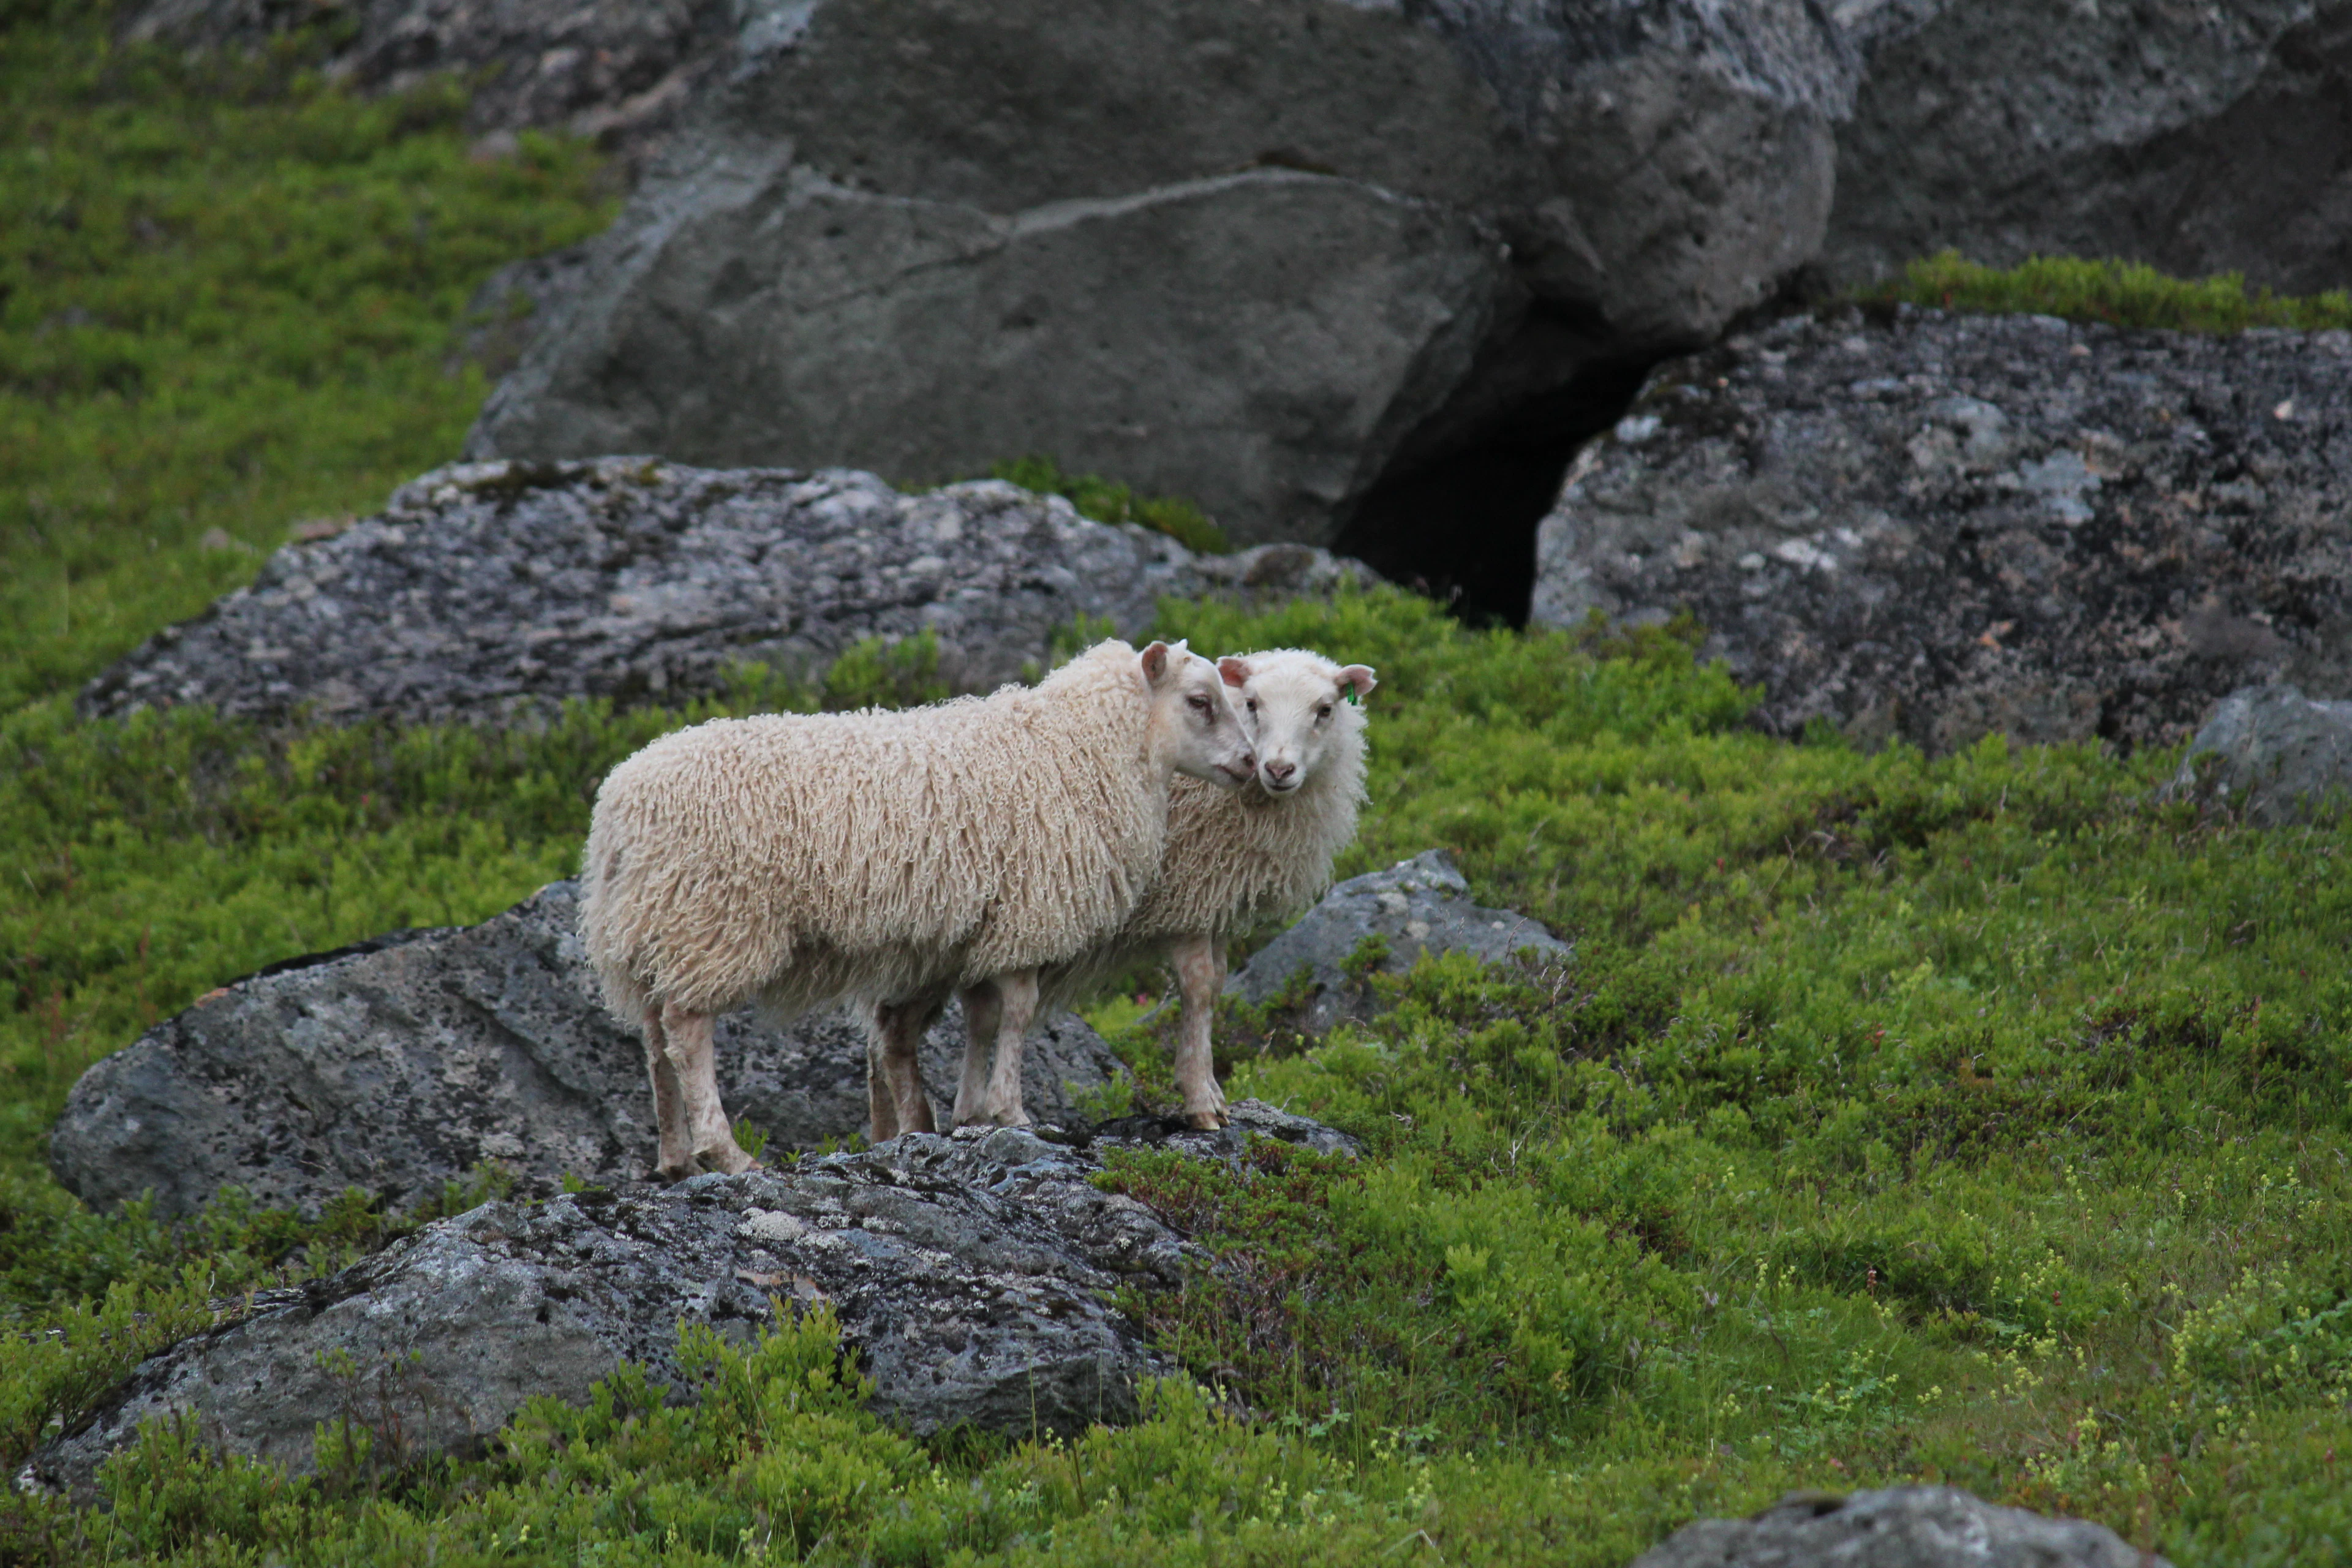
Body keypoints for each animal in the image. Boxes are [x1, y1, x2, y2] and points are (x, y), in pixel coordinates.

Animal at [578, 639, 1257, 1177]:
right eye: (1201, 701)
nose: (1252, 763)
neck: (1077, 748)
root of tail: (618, 803)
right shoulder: (1028, 915)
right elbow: (1018, 1014)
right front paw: (1014, 1112)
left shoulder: (983, 929)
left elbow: (983, 1018)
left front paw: (971, 1113)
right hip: (714, 919)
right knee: (688, 1033)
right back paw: (726, 1152)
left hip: (654, 926)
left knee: (655, 1038)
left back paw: (674, 1157)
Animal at [954, 648, 1375, 1130]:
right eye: (1252, 704)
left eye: (1325, 710)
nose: (1278, 769)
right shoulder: (1188, 901)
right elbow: (1198, 988)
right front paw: (1200, 1099)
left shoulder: (1215, 903)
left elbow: (1216, 987)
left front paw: (1213, 1091)